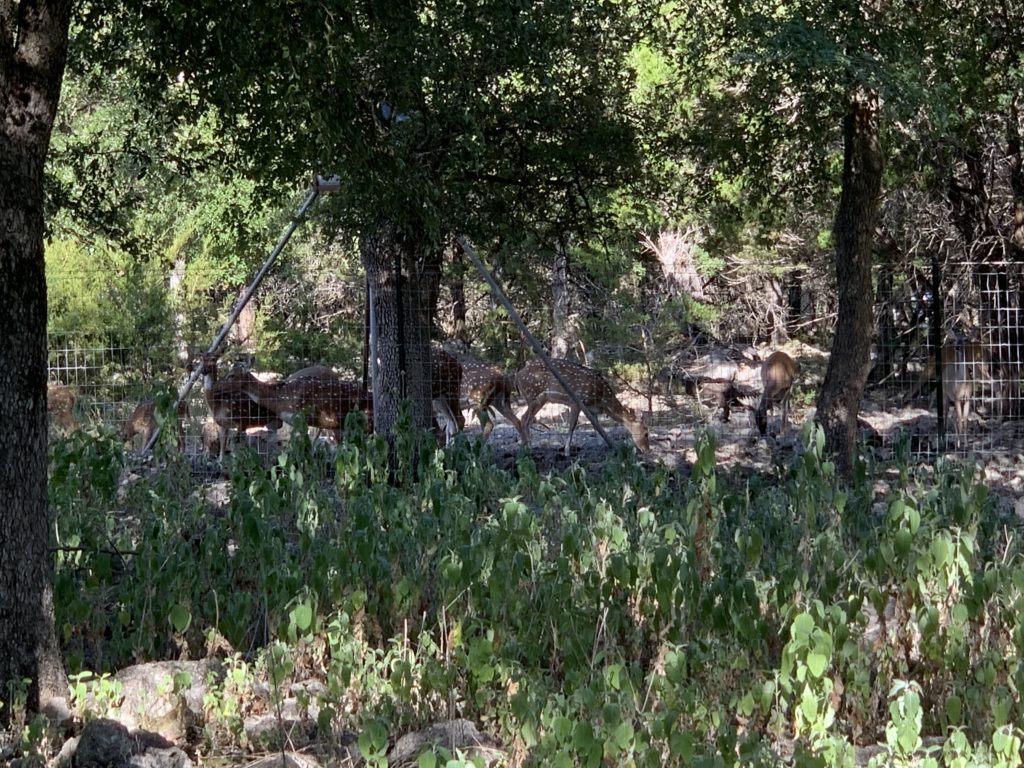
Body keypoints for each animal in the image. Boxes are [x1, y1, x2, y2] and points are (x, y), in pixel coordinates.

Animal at [512, 360, 647, 460]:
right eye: (646, 432)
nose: (646, 449)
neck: (601, 399)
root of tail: (517, 376)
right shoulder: (576, 402)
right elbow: (572, 426)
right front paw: (567, 452)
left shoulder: (592, 409)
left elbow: (596, 425)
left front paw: (602, 445)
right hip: (533, 395)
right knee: (524, 419)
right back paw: (528, 446)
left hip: (539, 399)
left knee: (526, 419)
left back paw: (528, 446)